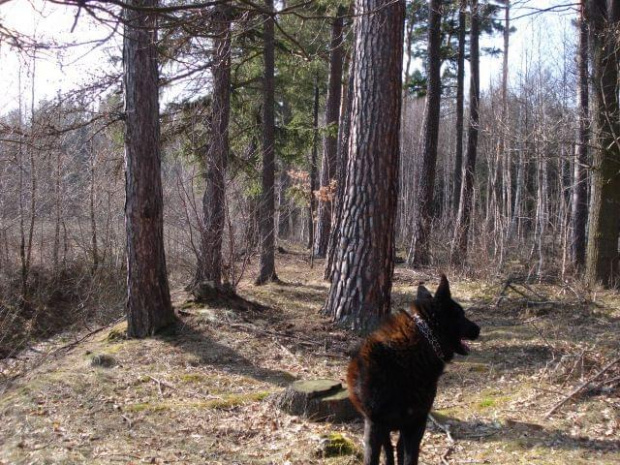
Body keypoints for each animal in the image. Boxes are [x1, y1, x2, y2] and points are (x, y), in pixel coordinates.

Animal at [348, 274, 480, 462]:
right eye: (460, 314)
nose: (478, 329)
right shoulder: (376, 425)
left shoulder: (415, 423)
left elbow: (409, 458)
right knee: (389, 449)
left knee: (396, 448)